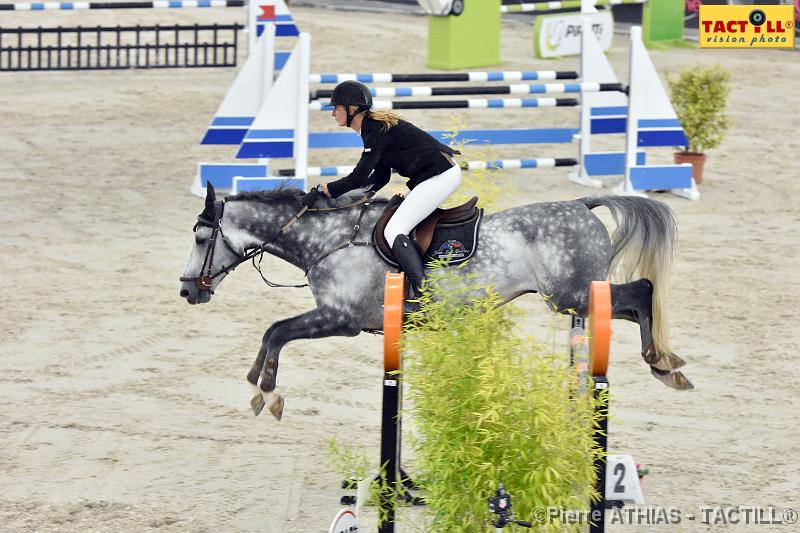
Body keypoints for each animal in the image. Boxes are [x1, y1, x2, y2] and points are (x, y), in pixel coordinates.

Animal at [178, 185, 692, 418]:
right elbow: (273, 332)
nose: (187, 290)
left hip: (571, 296)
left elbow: (278, 331)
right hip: (576, 300)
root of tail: (582, 205)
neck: (326, 239)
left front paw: (267, 392)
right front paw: (255, 385)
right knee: (633, 302)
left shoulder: (340, 318)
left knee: (642, 292)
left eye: (202, 238)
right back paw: (665, 364)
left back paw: (663, 364)